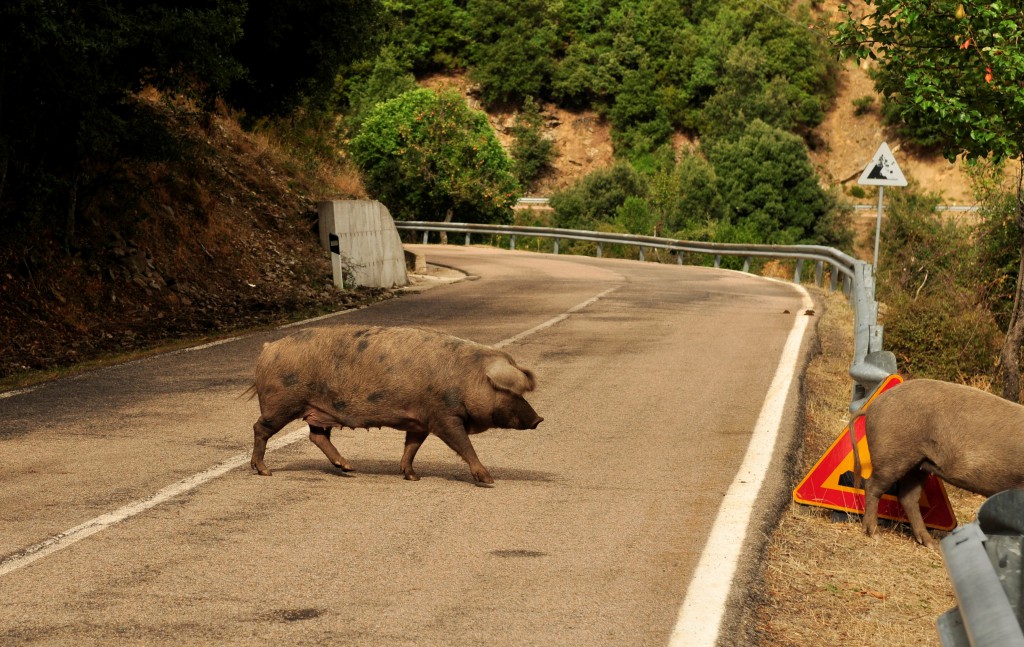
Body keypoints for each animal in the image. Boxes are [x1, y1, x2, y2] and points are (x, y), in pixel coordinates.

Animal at [246, 323, 544, 485]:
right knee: (260, 428)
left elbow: (411, 447)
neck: (466, 379)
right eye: (509, 392)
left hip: (318, 410)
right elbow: (463, 444)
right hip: (282, 404)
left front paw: (412, 476)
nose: (539, 419)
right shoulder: (443, 416)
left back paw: (348, 469)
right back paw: (265, 471)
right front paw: (489, 480)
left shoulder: (420, 421)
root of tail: (268, 348)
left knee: (317, 436)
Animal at [851, 380, 1024, 548]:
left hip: (918, 465)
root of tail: (873, 406)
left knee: (908, 497)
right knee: (873, 486)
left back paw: (930, 544)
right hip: (892, 455)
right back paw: (874, 534)